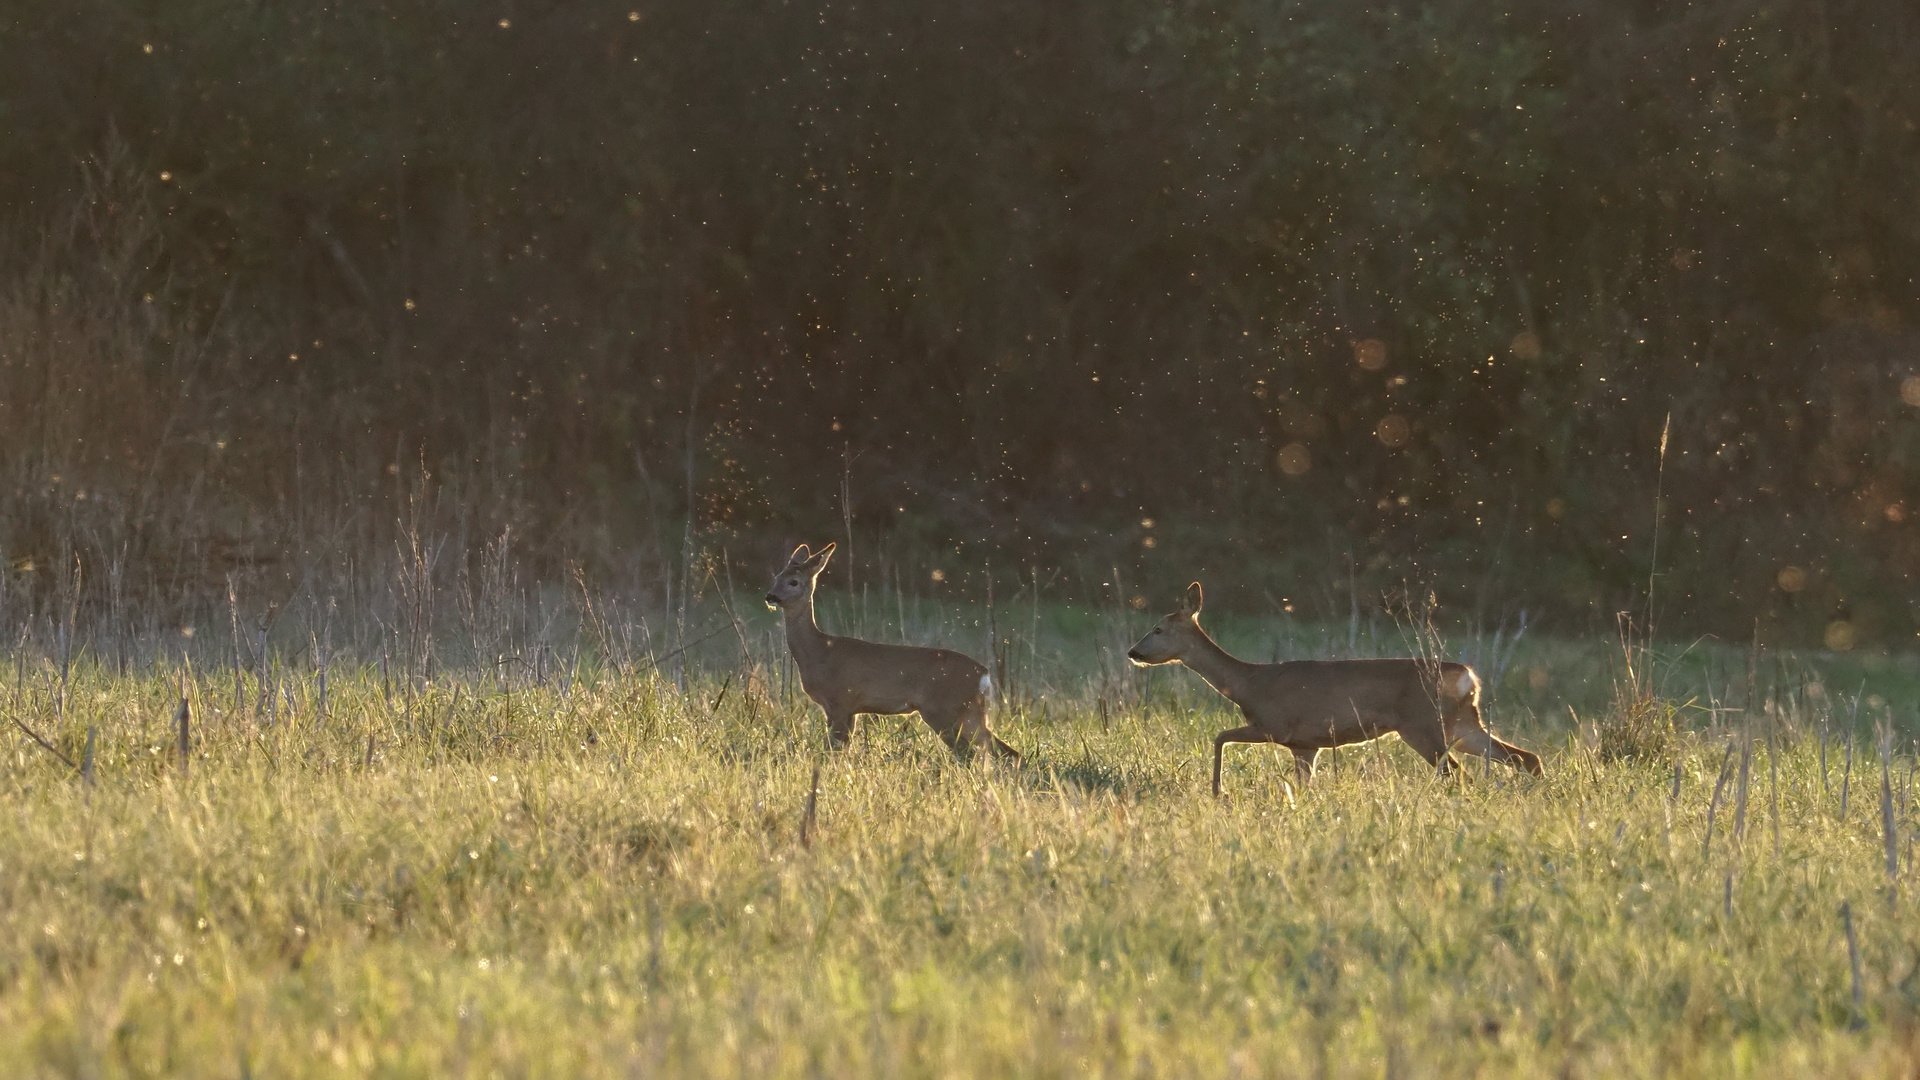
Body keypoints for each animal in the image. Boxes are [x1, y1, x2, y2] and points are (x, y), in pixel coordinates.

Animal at [764, 538, 1021, 757]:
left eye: (794, 582)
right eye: (776, 576)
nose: (771, 596)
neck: (818, 651)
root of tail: (983, 675)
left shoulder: (840, 700)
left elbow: (832, 751)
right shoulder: (849, 709)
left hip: (942, 709)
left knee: (969, 753)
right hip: (970, 711)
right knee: (1005, 751)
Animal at [1121, 580, 1543, 791]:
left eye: (1157, 629)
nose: (1133, 651)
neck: (1248, 684)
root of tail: (1468, 676)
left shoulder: (1275, 725)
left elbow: (1218, 737)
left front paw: (1217, 790)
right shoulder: (1305, 745)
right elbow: (1305, 785)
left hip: (1423, 725)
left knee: (1456, 772)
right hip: (1463, 724)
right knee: (1525, 758)